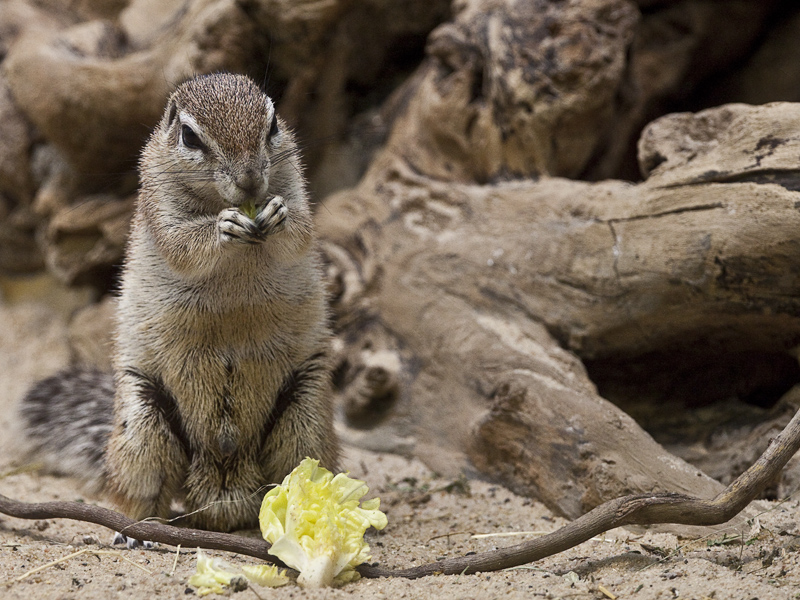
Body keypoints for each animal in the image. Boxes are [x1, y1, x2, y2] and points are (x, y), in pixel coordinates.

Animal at [18, 74, 338, 536]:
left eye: (274, 124)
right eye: (189, 136)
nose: (250, 182)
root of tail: (223, 495)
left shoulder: (297, 187)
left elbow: (300, 231)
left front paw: (277, 215)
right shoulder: (159, 206)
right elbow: (182, 244)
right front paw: (222, 226)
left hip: (305, 418)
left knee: (296, 479)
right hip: (143, 427)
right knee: (139, 494)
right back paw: (137, 534)